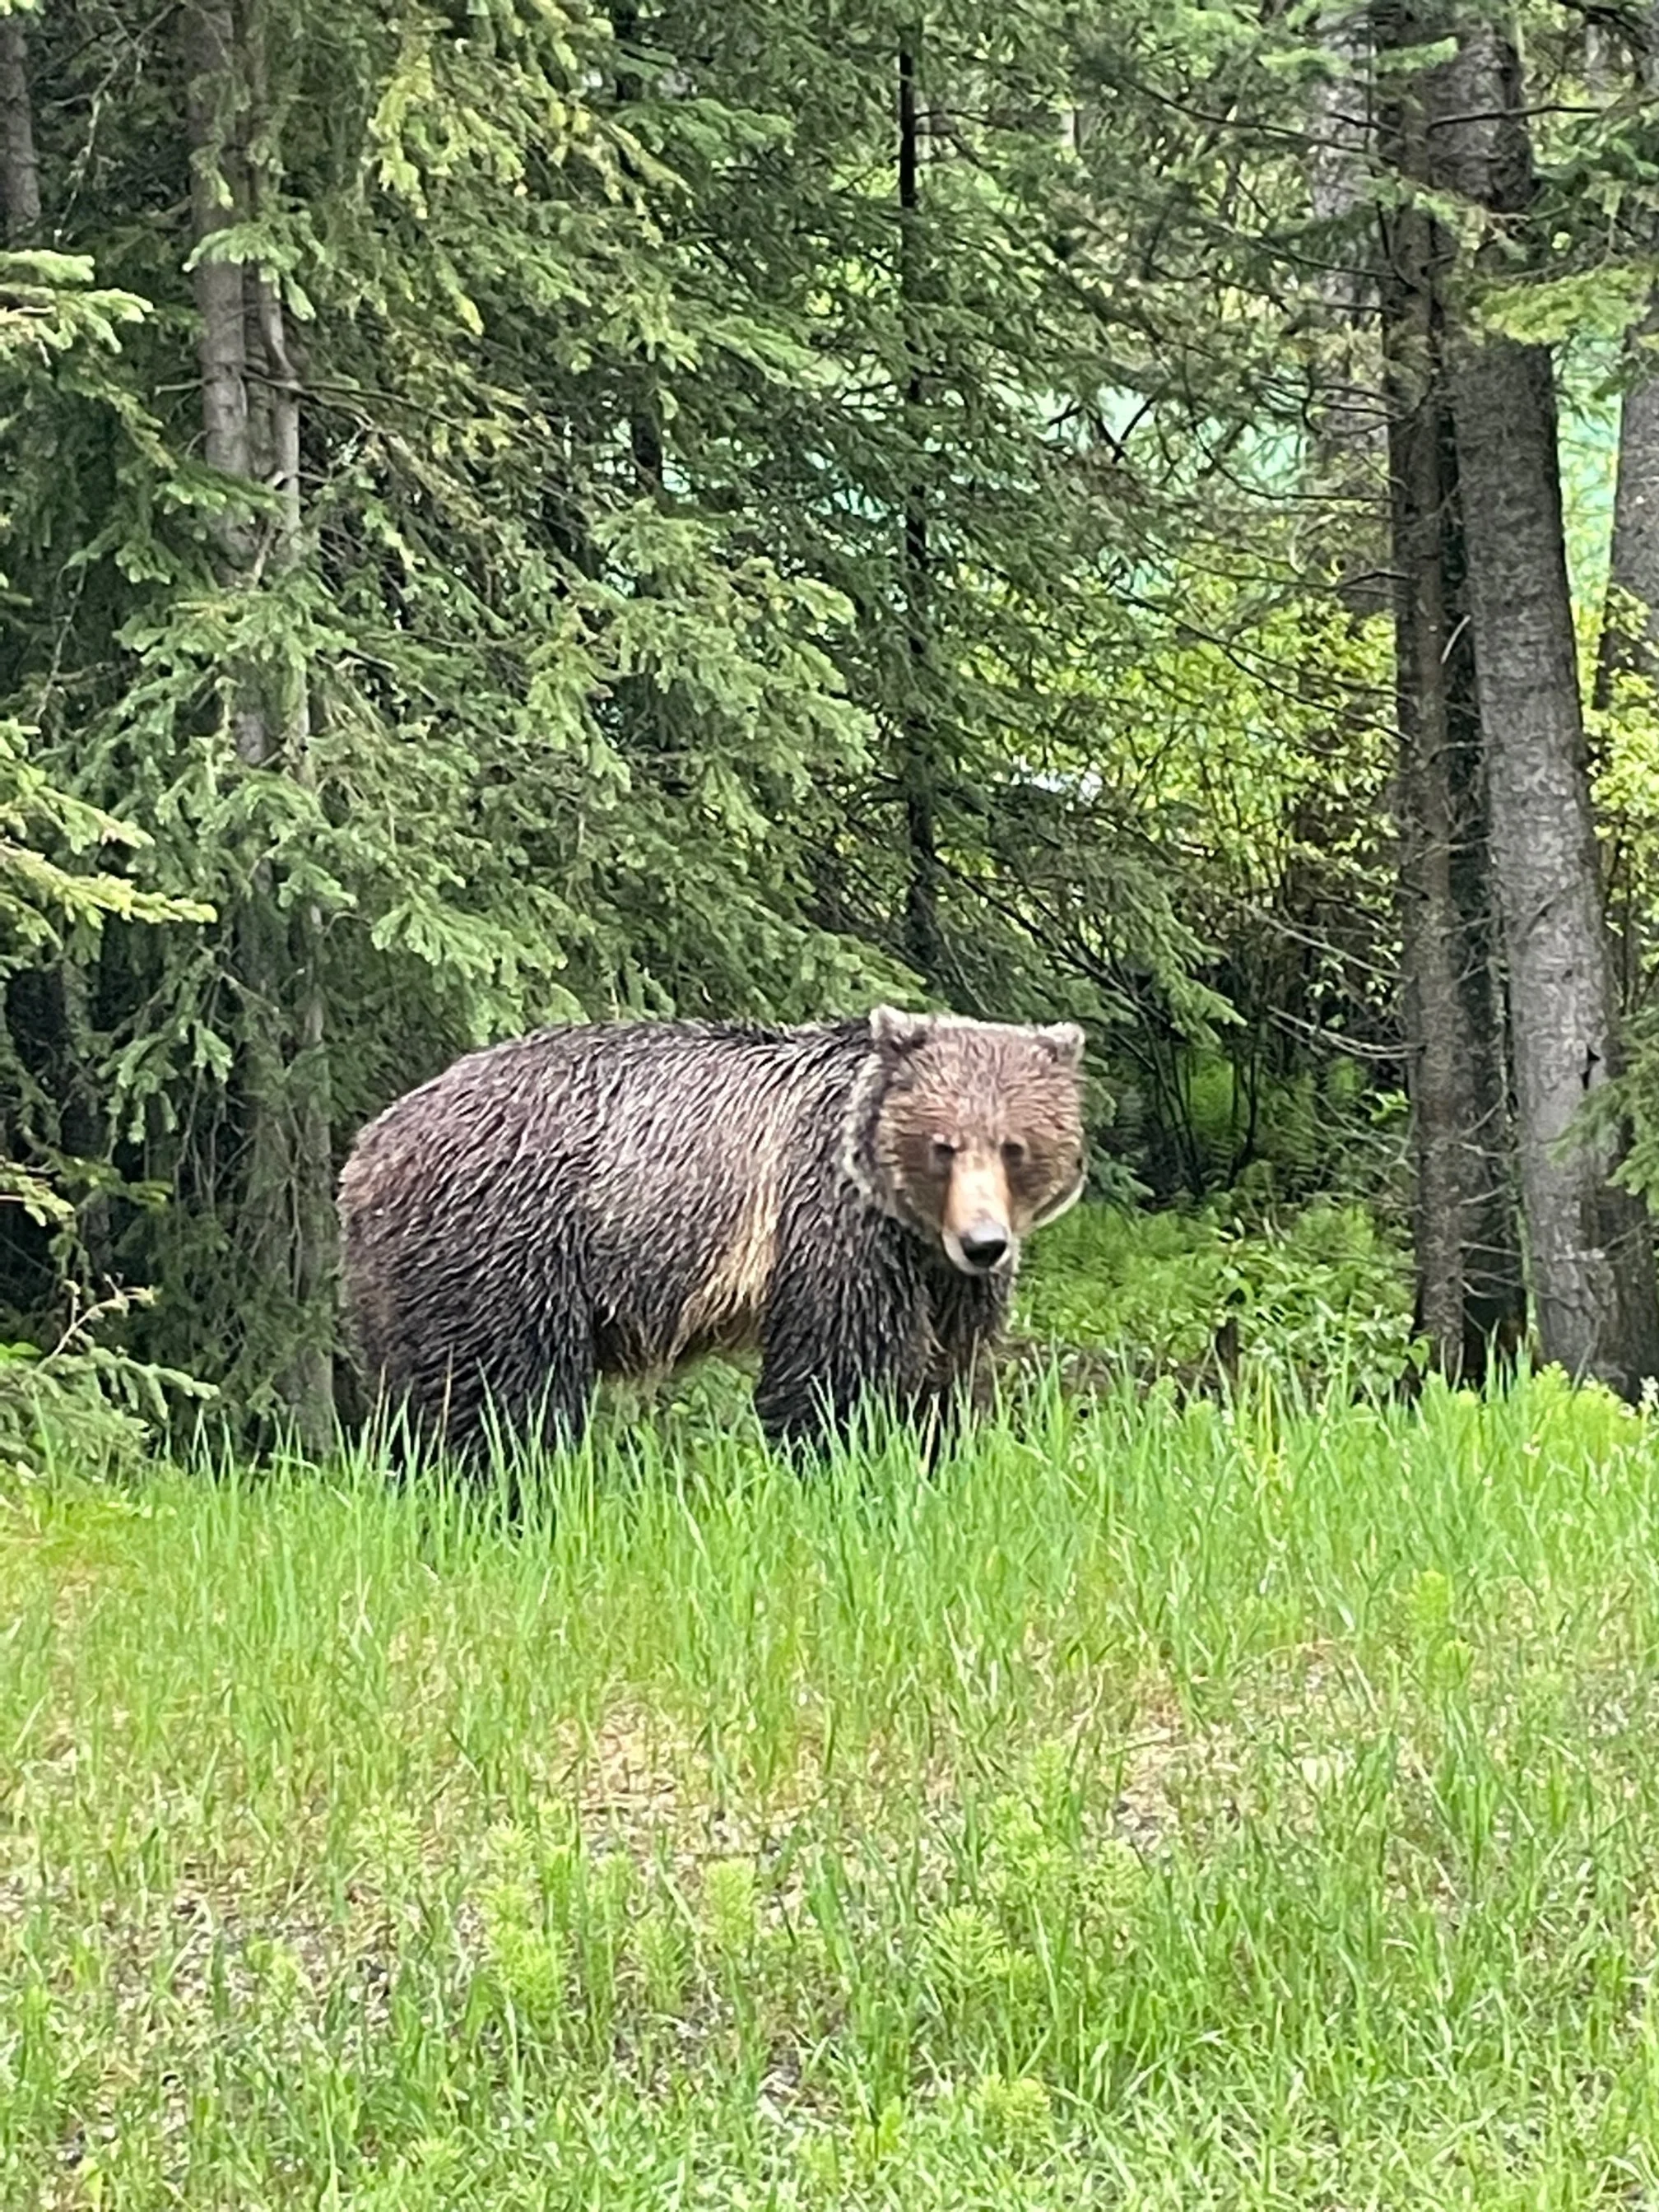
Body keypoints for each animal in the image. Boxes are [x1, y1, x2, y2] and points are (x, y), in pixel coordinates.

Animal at [337, 1005, 1087, 1466]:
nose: (984, 1242)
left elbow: (943, 1377)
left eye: (1014, 1147)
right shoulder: (829, 1224)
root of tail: (370, 1146)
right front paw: (843, 1464)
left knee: (410, 1404)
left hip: (404, 1285)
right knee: (504, 1398)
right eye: (943, 1146)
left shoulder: (944, 1284)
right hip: (504, 1246)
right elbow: (831, 1374)